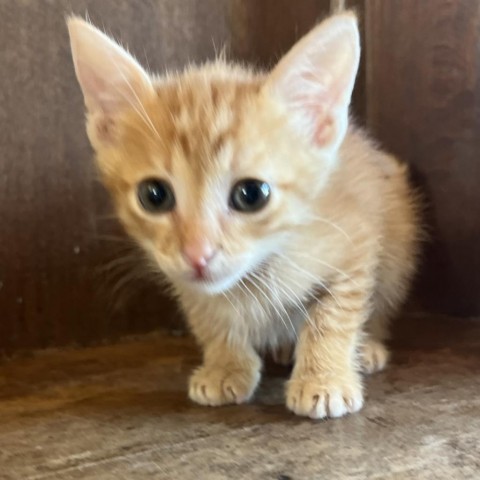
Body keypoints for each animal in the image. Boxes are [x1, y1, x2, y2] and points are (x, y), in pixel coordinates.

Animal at [67, 10, 420, 416]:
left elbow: (334, 315)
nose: (197, 254)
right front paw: (226, 366)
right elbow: (210, 318)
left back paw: (367, 347)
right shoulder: (187, 282)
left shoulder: (356, 242)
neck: (256, 274)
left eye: (251, 194)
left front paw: (324, 378)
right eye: (154, 195)